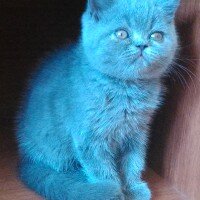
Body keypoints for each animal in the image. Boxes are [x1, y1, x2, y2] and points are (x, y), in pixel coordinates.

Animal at [16, 0, 180, 200]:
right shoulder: (90, 137)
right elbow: (103, 170)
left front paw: (133, 187)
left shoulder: (137, 131)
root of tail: (26, 158)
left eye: (156, 35)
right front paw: (114, 191)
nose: (142, 45)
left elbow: (133, 160)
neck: (126, 91)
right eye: (121, 33)